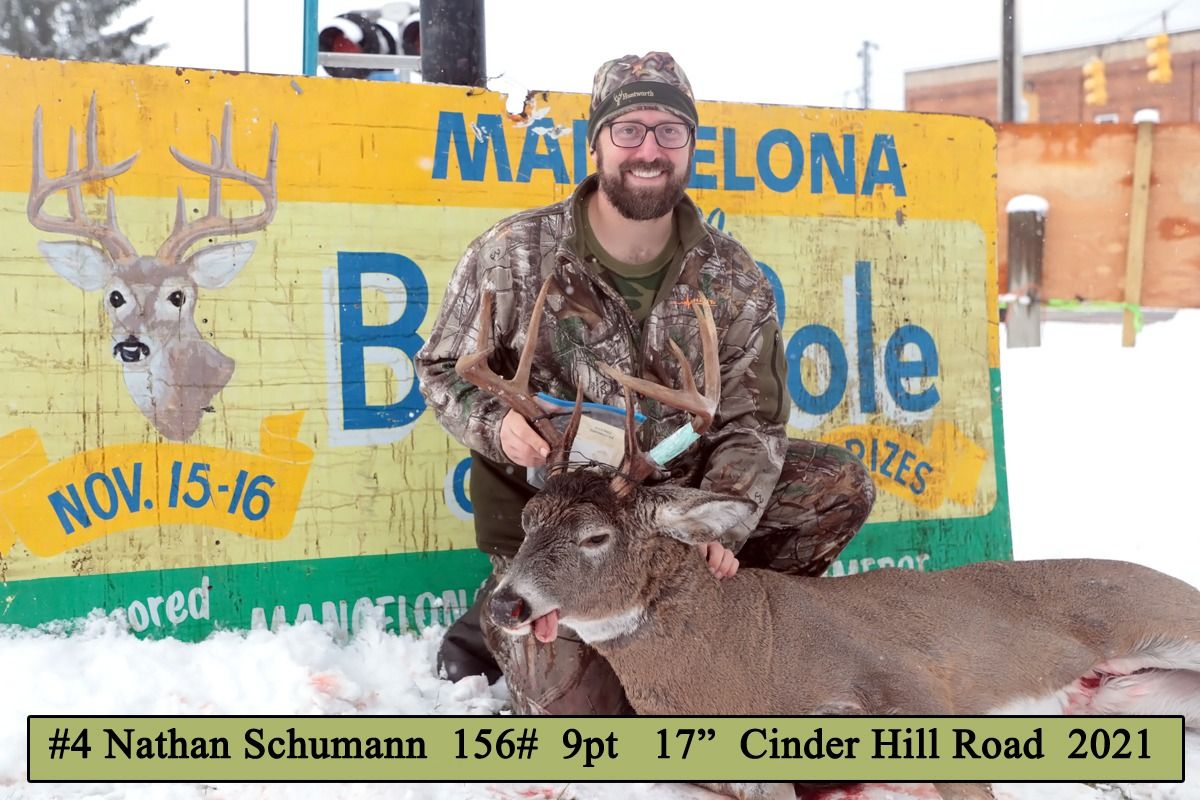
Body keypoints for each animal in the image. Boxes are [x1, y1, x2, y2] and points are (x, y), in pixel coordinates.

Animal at [455, 277, 1200, 800]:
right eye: (529, 521)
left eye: (594, 537)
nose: (506, 605)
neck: (739, 664)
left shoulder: (908, 681)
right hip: (1134, 695)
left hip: (1165, 616)